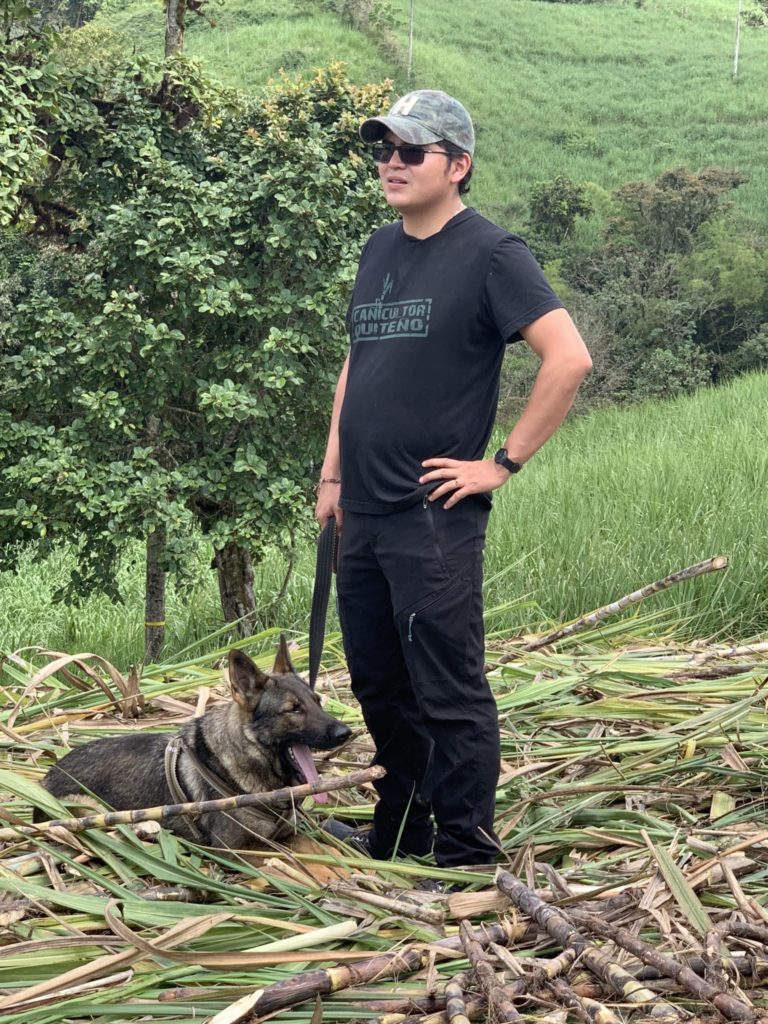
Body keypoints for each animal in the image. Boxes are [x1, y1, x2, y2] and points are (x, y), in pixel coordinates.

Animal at [39, 638, 352, 847]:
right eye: (293, 709)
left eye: (317, 701)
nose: (345, 732)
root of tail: (46, 777)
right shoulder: (239, 850)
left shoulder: (290, 834)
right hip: (90, 810)